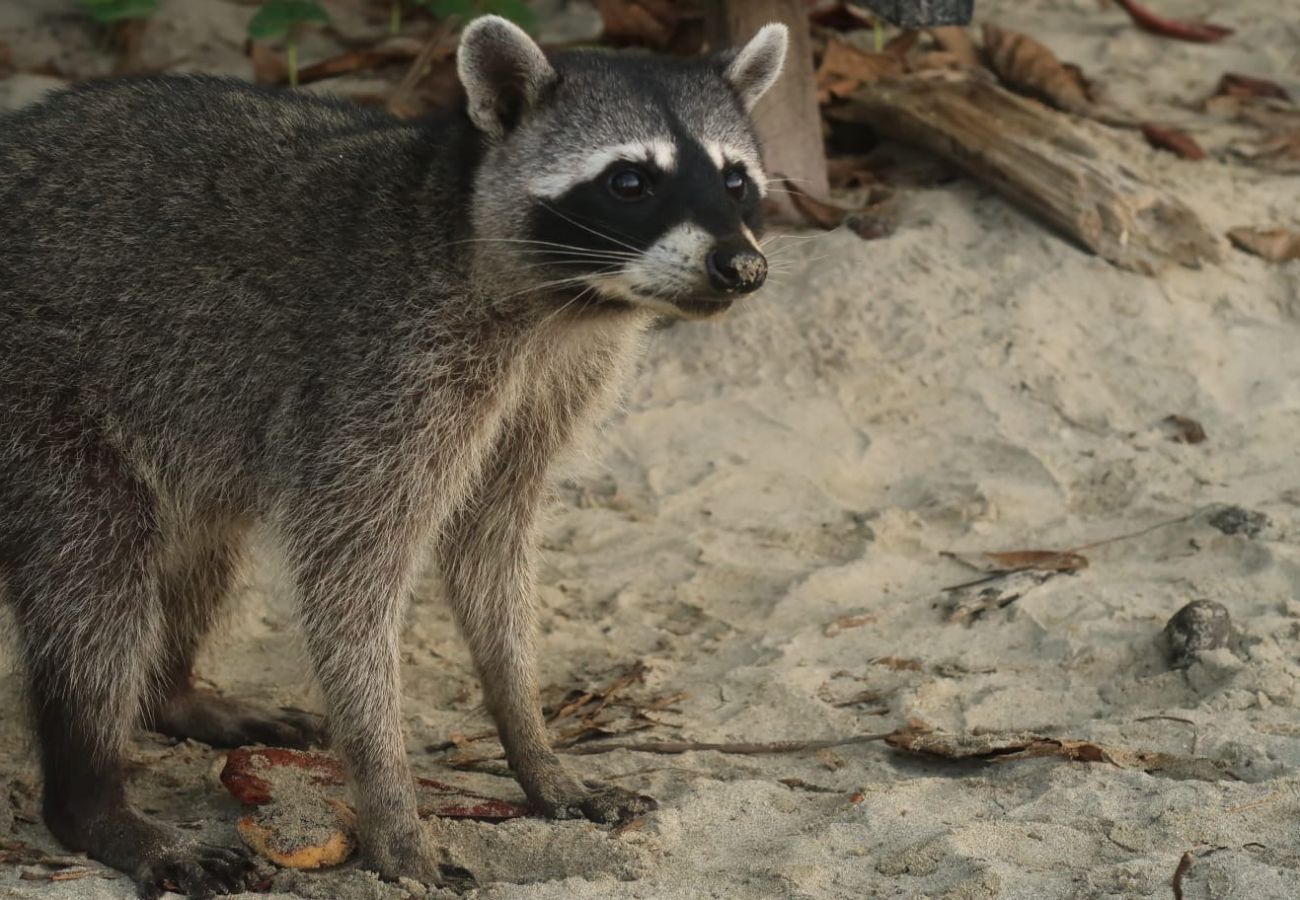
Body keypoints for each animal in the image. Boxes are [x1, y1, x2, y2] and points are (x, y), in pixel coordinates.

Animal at [0, 14, 780, 900]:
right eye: (629, 182)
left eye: (736, 181)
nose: (742, 264)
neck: (557, 303)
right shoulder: (387, 366)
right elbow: (349, 574)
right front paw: (389, 799)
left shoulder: (548, 387)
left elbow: (491, 551)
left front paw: (533, 743)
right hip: (41, 404)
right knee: (96, 578)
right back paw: (95, 798)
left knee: (198, 544)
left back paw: (171, 693)